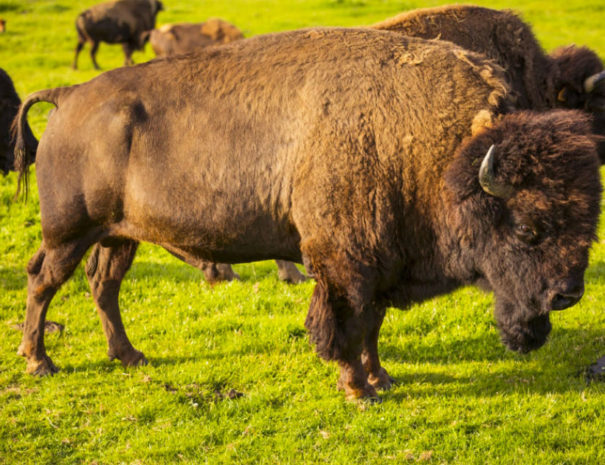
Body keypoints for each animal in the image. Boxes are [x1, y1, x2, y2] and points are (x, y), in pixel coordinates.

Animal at [14, 29, 600, 400]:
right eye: (527, 228)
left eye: (588, 225)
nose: (567, 295)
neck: (443, 155)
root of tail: (68, 96)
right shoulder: (345, 265)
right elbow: (343, 327)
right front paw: (358, 390)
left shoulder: (382, 263)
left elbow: (371, 327)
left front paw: (381, 379)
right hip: (69, 232)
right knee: (44, 280)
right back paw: (39, 361)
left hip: (119, 235)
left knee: (103, 285)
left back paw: (130, 356)